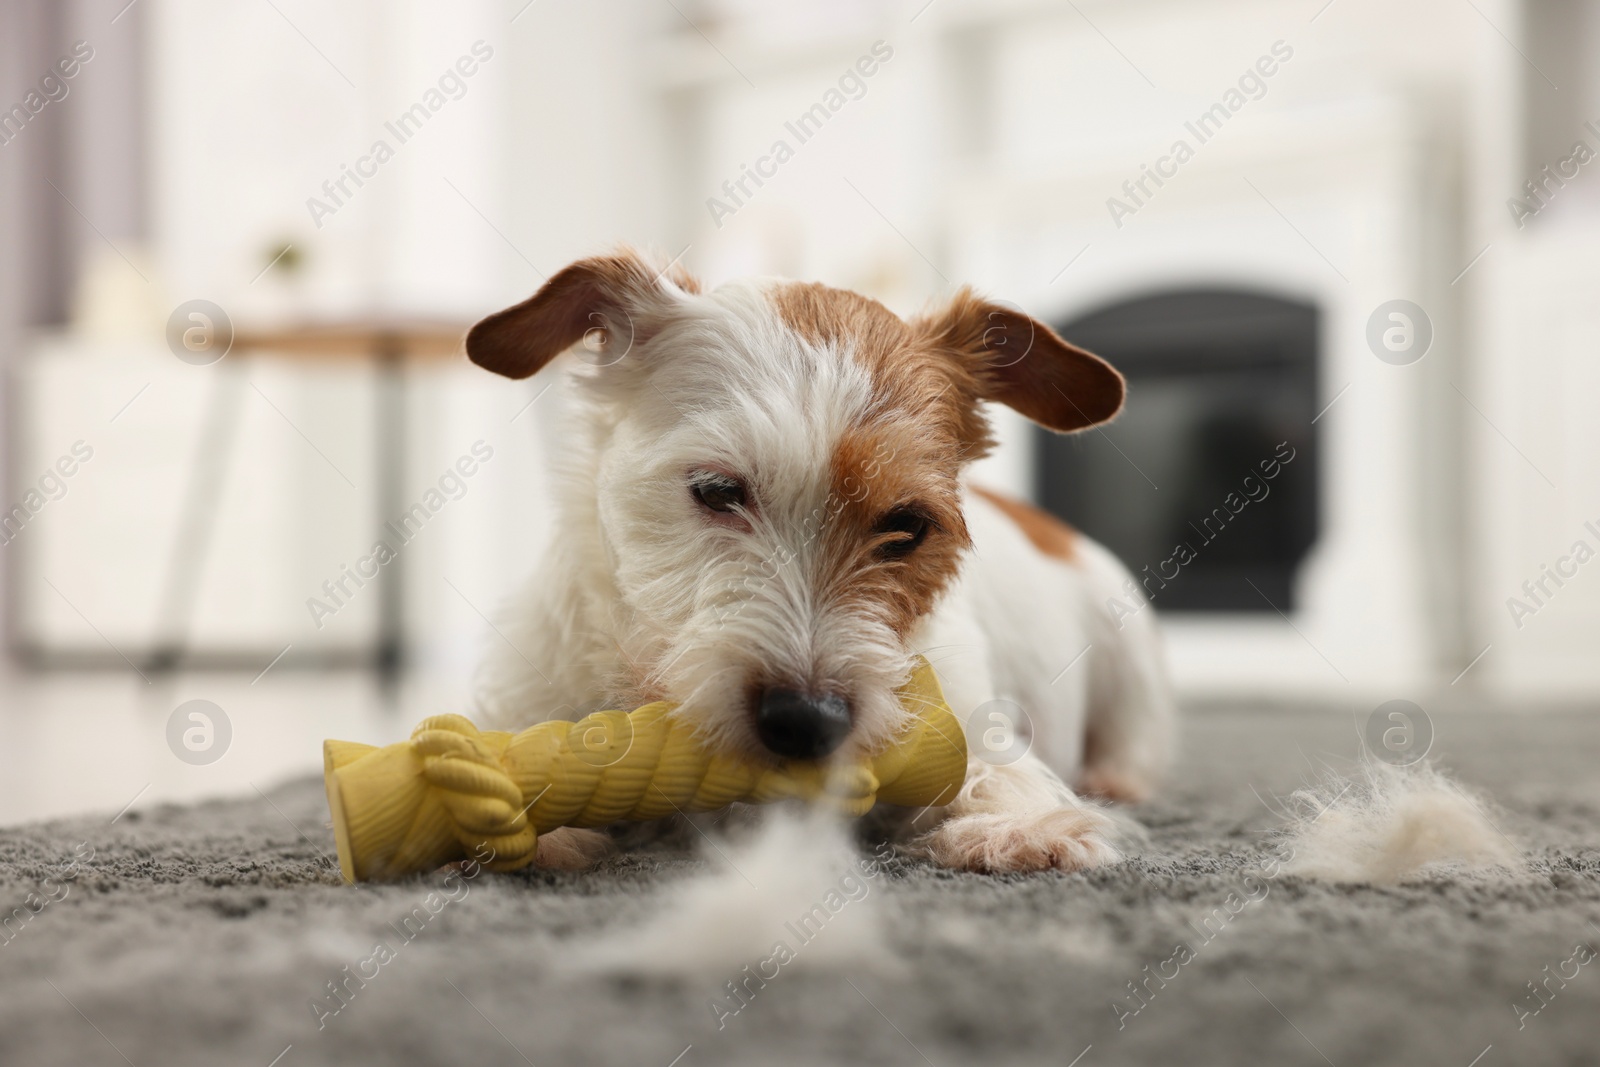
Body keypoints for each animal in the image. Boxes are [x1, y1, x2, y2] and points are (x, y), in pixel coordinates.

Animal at [464, 252, 1177, 876]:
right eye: (716, 491)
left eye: (908, 526)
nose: (806, 722)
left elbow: (992, 768)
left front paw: (1018, 825)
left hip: (1130, 659)